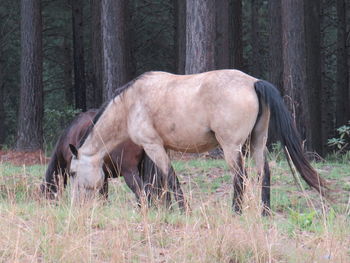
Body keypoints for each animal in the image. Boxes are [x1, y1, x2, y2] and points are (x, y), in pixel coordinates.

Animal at [69, 70, 330, 214]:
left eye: (73, 173)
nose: (76, 205)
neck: (130, 103)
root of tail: (253, 82)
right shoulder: (161, 148)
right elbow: (161, 180)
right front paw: (167, 209)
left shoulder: (153, 146)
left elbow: (169, 179)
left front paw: (181, 211)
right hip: (258, 142)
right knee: (264, 173)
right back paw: (264, 213)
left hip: (231, 147)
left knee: (240, 177)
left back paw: (236, 212)